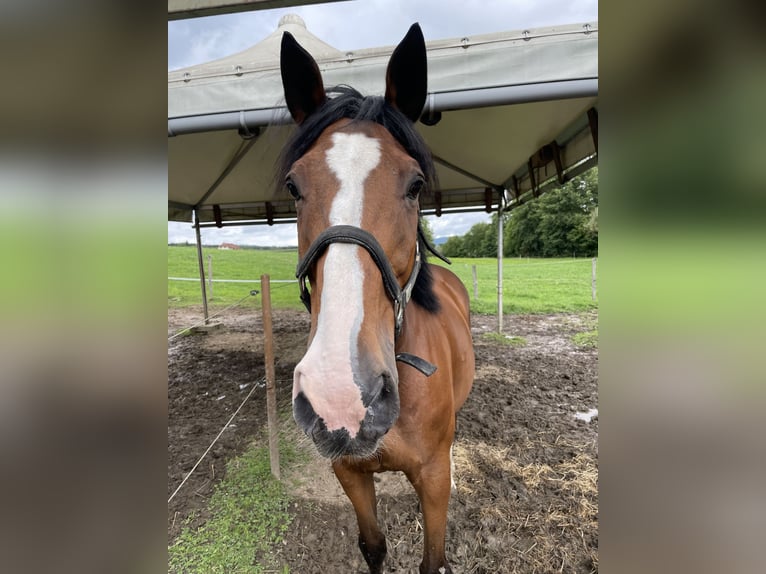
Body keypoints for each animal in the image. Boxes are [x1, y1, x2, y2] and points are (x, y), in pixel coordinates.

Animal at [280, 23, 474, 574]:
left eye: (415, 185)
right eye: (294, 186)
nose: (341, 395)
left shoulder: (433, 480)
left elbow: (434, 559)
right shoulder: (350, 473)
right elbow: (373, 546)